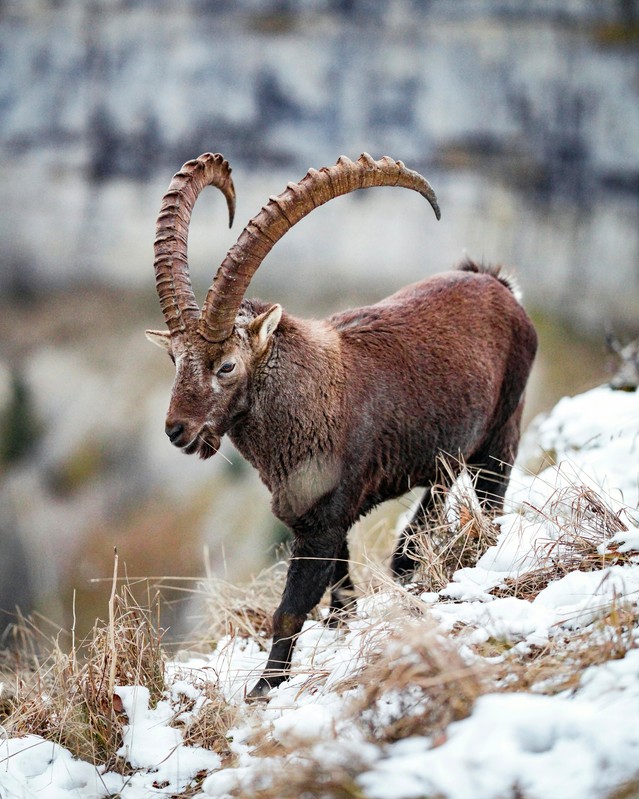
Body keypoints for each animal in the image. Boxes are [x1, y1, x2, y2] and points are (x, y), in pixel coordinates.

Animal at [146, 152, 537, 699]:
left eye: (226, 365)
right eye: (175, 360)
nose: (177, 430)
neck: (308, 398)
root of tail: (499, 285)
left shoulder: (323, 525)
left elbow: (290, 611)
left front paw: (264, 690)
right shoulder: (323, 523)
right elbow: (342, 593)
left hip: (503, 428)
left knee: (491, 497)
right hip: (447, 452)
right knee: (432, 503)